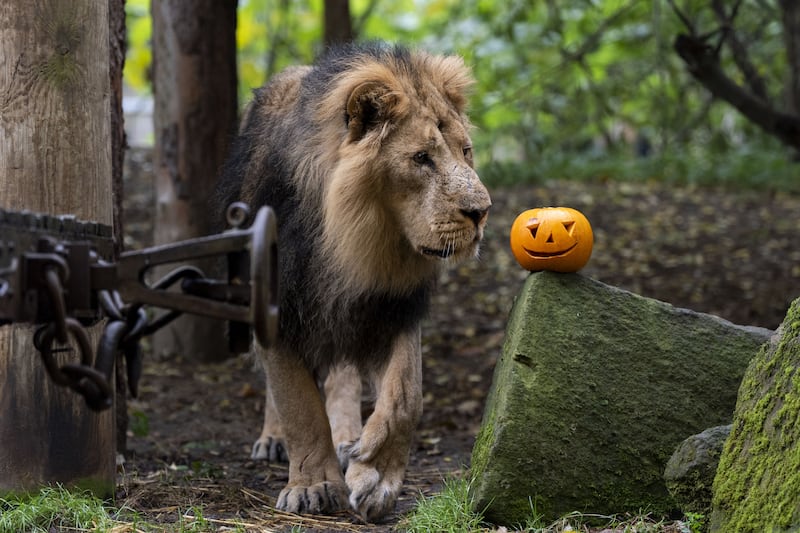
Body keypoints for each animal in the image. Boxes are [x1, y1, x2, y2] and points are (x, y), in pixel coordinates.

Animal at [212, 41, 490, 520]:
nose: (481, 212)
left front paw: (374, 477)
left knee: (343, 376)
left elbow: (406, 397)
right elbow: (298, 403)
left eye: (466, 151)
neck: (357, 245)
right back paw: (274, 440)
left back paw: (347, 440)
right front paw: (314, 486)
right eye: (421, 158)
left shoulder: (392, 307)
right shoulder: (281, 307)